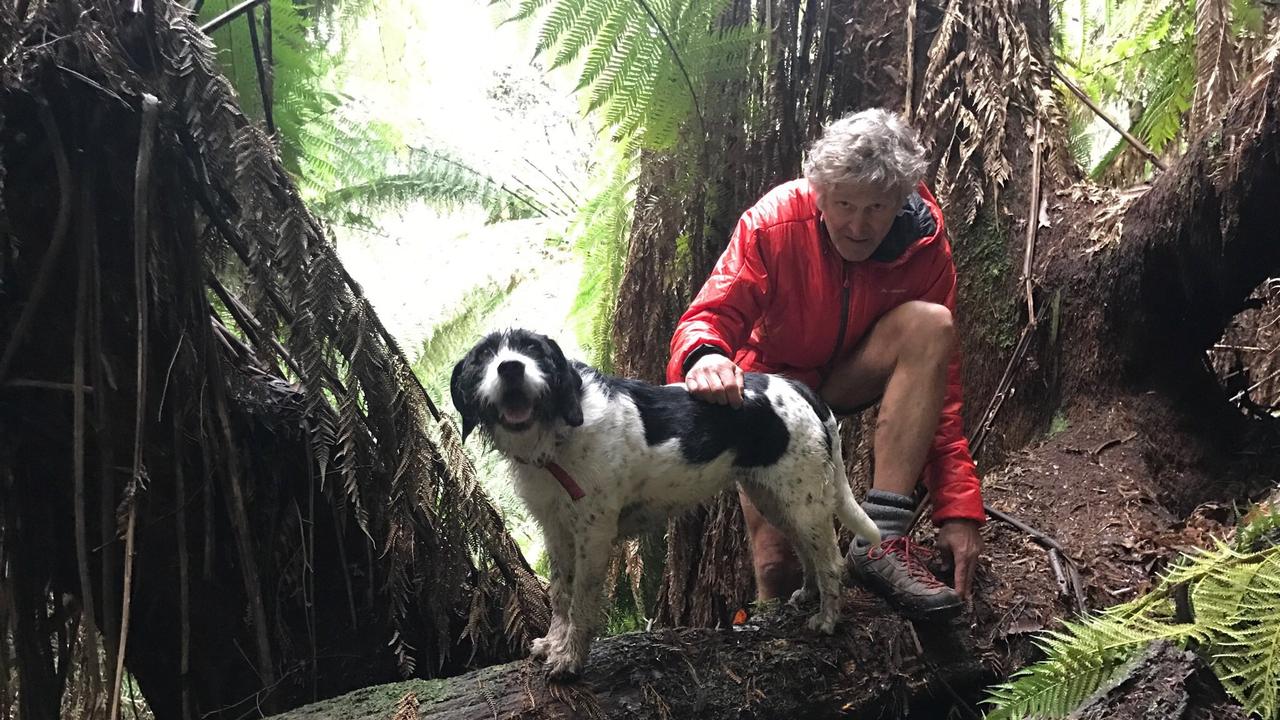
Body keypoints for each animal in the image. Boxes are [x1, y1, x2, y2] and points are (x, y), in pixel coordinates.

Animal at [455, 327, 885, 676]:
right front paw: (553, 644)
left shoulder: (594, 534)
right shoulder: (556, 530)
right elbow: (560, 594)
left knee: (831, 562)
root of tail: (796, 388)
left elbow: (580, 600)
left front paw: (571, 659)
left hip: (802, 499)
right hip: (777, 499)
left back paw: (828, 619)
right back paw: (808, 595)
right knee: (806, 550)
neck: (558, 433)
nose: (511, 368)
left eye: (534, 349)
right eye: (483, 356)